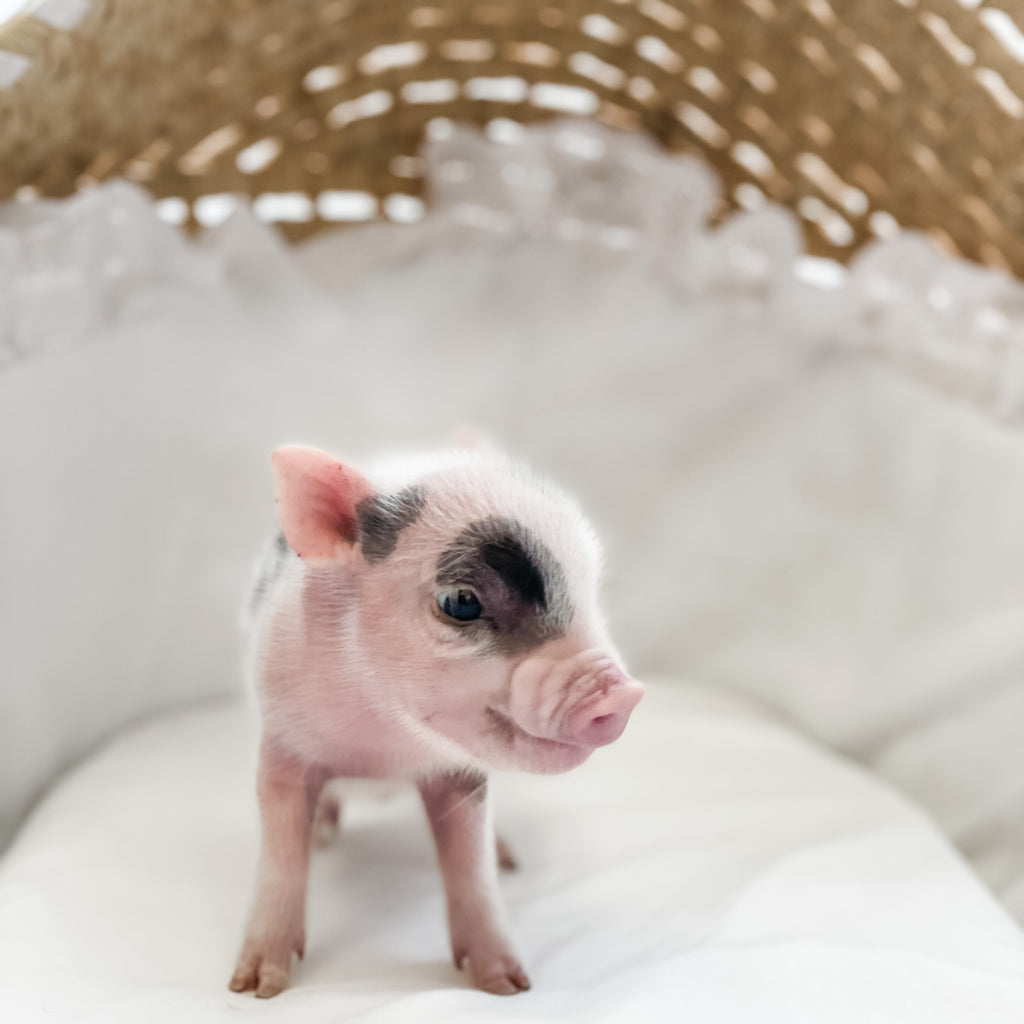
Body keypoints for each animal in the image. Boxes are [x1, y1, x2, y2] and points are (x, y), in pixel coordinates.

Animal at [229, 445, 644, 998]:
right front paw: (254, 987)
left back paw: (508, 858)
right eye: (461, 601)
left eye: (590, 591)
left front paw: (509, 985)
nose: (624, 694)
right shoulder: (282, 744)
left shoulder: (461, 773)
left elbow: (472, 866)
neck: (381, 753)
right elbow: (280, 856)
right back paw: (324, 834)